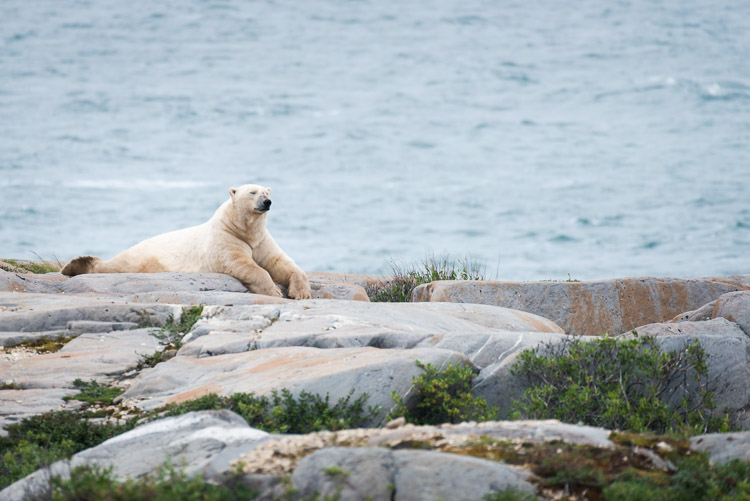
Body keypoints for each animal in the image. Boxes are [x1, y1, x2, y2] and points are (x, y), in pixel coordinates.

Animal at [61, 184, 312, 299]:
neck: (242, 230)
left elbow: (279, 262)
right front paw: (275, 291)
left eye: (267, 192)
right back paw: (76, 265)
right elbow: (246, 265)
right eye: (252, 192)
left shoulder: (261, 240)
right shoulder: (225, 240)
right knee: (117, 264)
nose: (267, 202)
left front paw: (301, 293)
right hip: (143, 257)